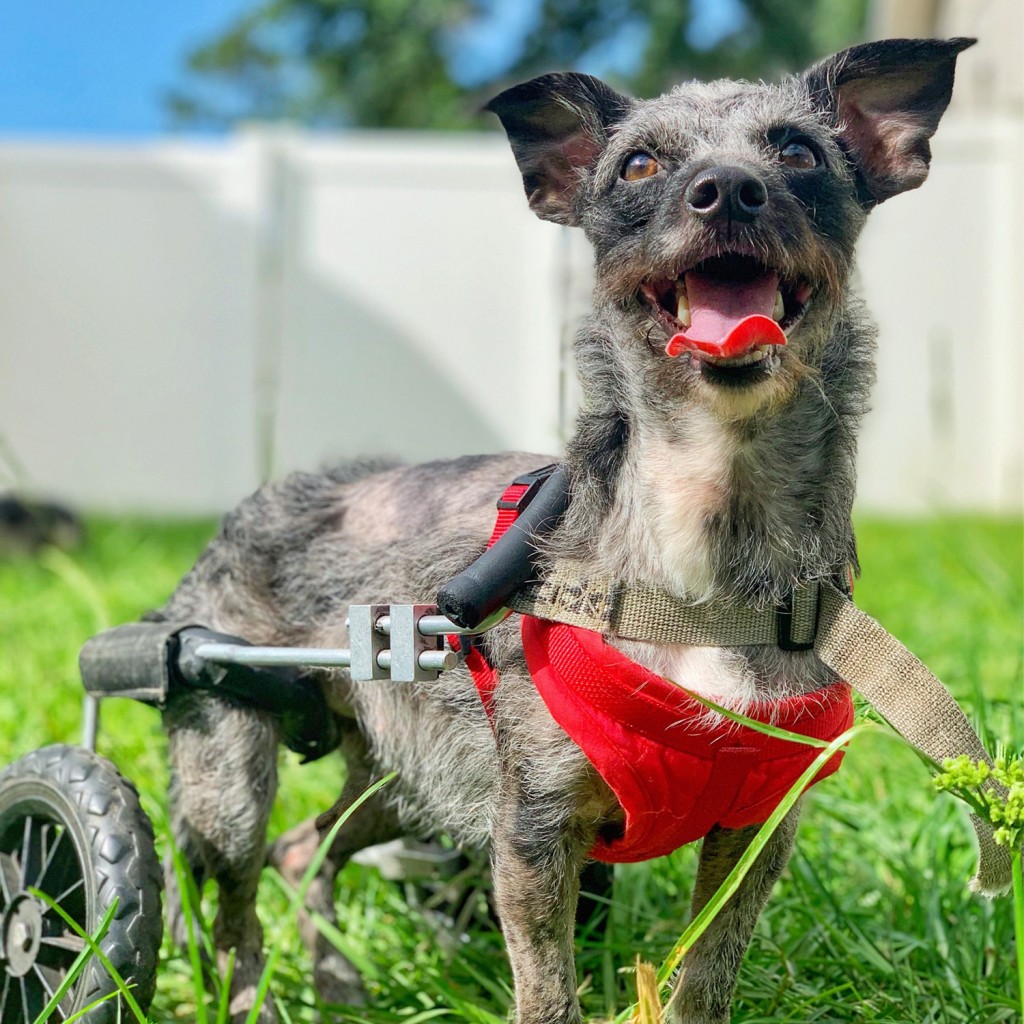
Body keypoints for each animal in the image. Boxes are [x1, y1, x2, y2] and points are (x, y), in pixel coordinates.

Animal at [154, 37, 973, 1023]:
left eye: (798, 152)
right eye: (641, 165)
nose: (729, 189)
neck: (703, 544)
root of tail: (255, 504)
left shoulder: (753, 829)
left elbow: (706, 975)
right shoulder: (532, 829)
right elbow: (546, 991)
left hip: (409, 776)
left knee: (306, 845)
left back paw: (338, 981)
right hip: (230, 764)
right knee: (238, 890)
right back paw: (252, 994)